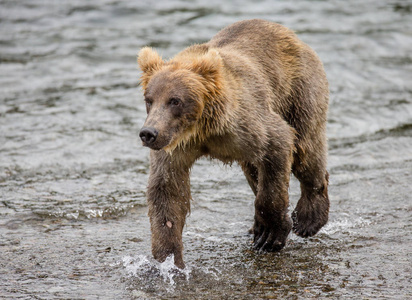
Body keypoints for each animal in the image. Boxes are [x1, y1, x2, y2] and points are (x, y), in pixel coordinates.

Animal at [137, 19, 330, 268]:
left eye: (175, 100)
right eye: (149, 99)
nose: (148, 133)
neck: (202, 128)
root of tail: (290, 33)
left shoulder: (246, 123)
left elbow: (277, 145)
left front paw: (271, 234)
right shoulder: (175, 146)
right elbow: (166, 191)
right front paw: (168, 260)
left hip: (298, 92)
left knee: (306, 151)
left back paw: (308, 219)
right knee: (254, 171)